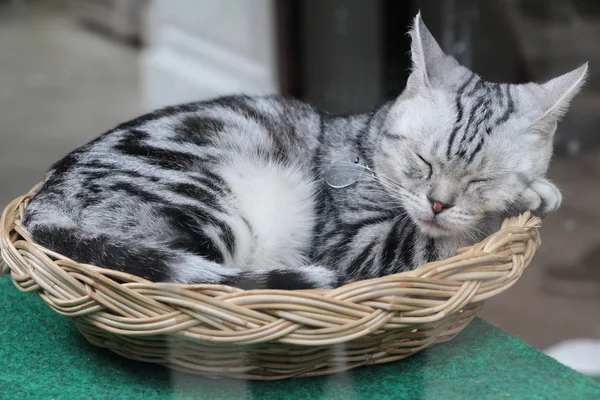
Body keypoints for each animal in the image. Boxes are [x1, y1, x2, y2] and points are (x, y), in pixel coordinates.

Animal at [22, 14, 584, 290]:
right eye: (423, 163)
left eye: (479, 179)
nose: (439, 203)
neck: (362, 144)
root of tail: (43, 203)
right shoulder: (355, 249)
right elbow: (444, 239)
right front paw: (527, 198)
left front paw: (537, 191)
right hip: (210, 213)